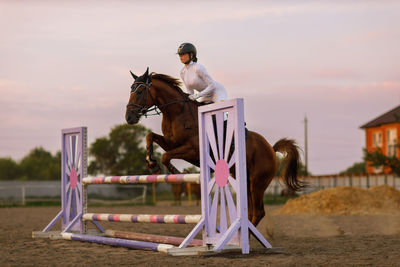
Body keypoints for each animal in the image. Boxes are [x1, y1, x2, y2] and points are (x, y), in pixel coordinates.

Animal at [125, 67, 304, 226]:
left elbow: (165, 156)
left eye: (140, 92)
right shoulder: (172, 143)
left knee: (258, 212)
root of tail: (271, 149)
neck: (177, 113)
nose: (129, 117)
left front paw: (174, 171)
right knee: (251, 211)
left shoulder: (193, 150)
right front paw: (151, 163)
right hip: (243, 179)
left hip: (257, 182)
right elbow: (150, 136)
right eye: (131, 90)